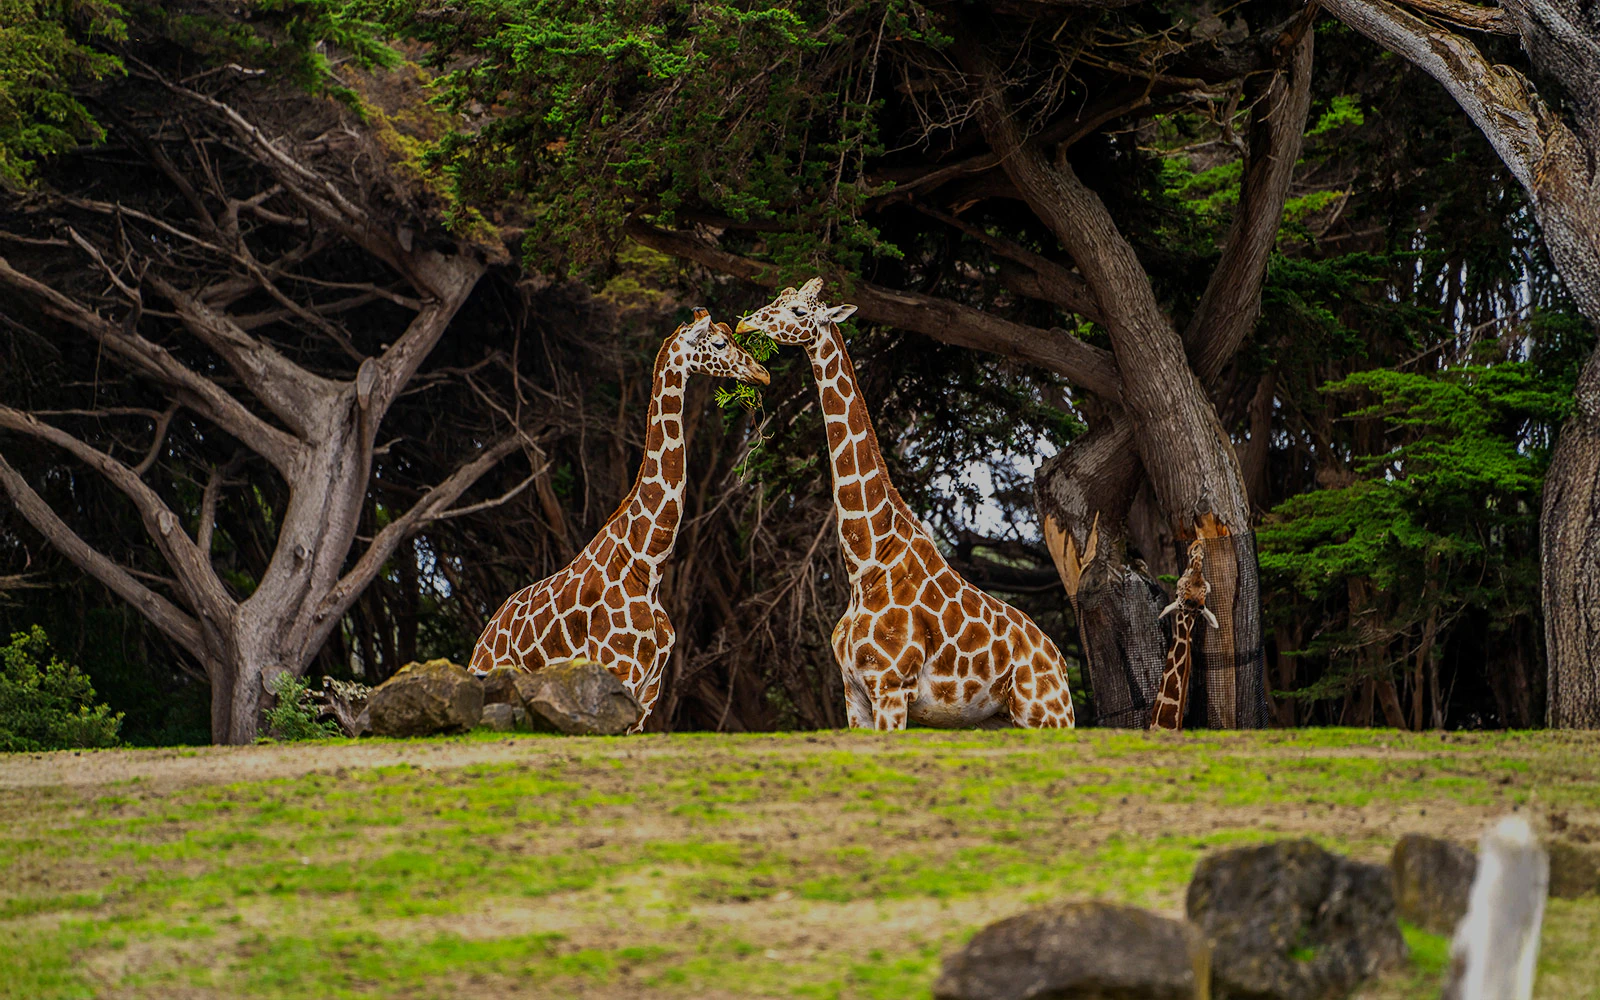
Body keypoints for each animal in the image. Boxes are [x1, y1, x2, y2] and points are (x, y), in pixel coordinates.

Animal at [469, 310, 769, 728]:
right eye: (720, 342)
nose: (762, 373)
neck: (647, 564)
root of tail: (484, 637)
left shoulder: (650, 687)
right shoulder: (618, 668)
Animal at [736, 279, 1075, 730]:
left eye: (798, 311)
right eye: (779, 296)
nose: (745, 323)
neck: (865, 564)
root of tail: (1059, 661)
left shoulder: (891, 688)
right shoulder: (854, 695)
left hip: (1047, 713)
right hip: (1000, 719)